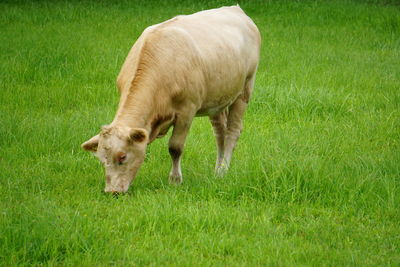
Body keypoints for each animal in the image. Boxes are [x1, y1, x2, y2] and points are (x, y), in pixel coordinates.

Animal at [81, 5, 262, 194]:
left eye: (122, 156)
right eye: (102, 160)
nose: (112, 192)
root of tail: (235, 9)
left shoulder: (187, 111)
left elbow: (175, 147)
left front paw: (175, 180)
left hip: (245, 89)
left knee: (233, 131)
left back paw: (223, 171)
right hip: (217, 99)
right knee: (220, 133)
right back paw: (217, 169)